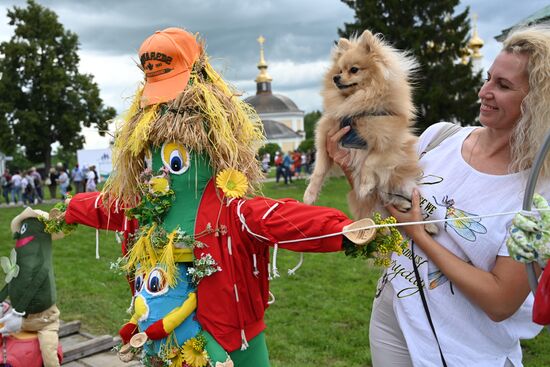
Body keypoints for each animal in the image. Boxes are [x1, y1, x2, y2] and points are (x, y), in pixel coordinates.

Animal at [304, 30, 424, 220]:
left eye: (354, 70)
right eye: (339, 70)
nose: (336, 77)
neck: (357, 107)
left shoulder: (389, 145)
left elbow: (370, 161)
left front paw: (365, 186)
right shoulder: (325, 142)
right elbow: (319, 170)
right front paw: (310, 195)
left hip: (402, 181)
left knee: (392, 192)